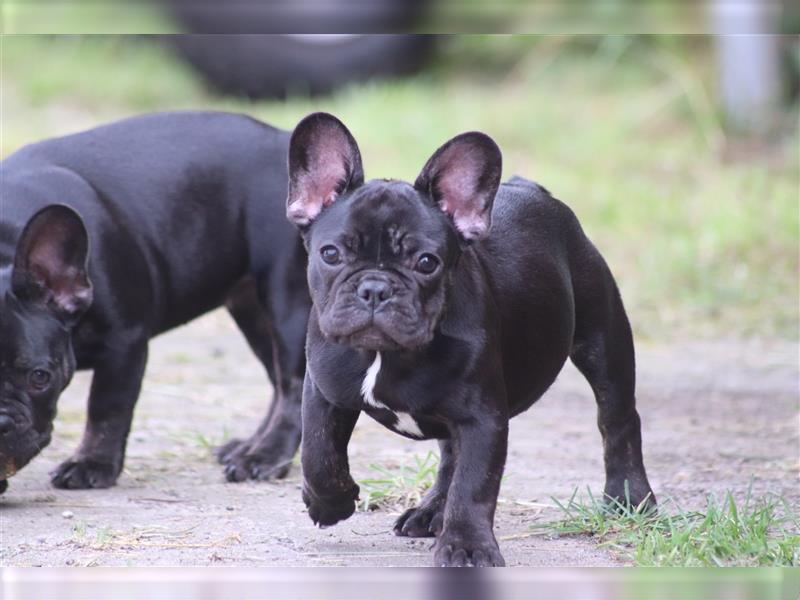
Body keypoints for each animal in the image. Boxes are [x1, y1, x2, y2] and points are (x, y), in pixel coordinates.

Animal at [0, 111, 310, 492]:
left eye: (39, 377)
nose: (1, 423)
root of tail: (282, 138)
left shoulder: (124, 342)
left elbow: (107, 408)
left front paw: (92, 463)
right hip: (251, 311)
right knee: (276, 377)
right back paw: (250, 445)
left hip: (287, 303)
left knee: (294, 383)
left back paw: (264, 456)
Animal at [290, 113, 652, 568]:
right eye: (331, 254)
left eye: (427, 262)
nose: (375, 288)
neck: (385, 355)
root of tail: (529, 188)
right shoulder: (323, 390)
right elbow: (317, 452)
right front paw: (329, 503)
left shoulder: (482, 418)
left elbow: (475, 483)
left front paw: (466, 545)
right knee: (448, 455)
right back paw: (430, 512)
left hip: (603, 341)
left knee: (618, 418)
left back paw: (630, 498)